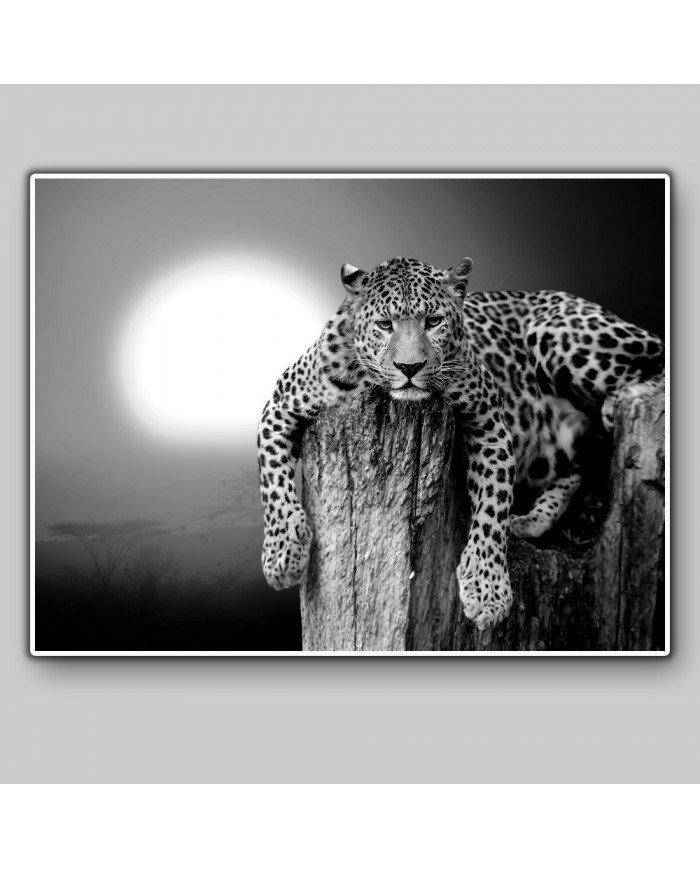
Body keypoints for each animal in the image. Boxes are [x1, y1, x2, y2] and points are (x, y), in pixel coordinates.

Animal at [257, 256, 664, 631]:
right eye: (385, 325)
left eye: (433, 321)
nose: (409, 368)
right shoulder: (279, 405)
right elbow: (272, 484)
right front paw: (282, 556)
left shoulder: (490, 421)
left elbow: (493, 506)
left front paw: (487, 590)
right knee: (575, 471)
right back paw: (530, 520)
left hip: (558, 331)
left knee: (656, 363)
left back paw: (618, 404)